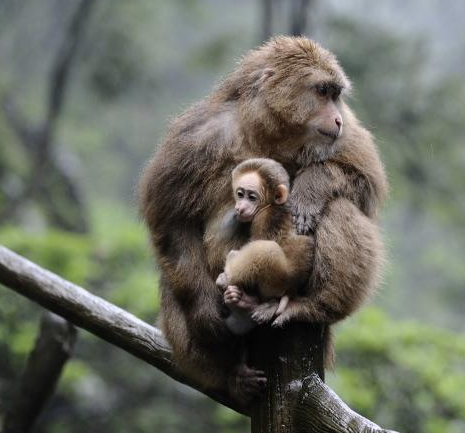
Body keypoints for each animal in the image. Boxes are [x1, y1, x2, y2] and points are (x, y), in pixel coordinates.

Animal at [217, 159, 312, 334]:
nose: (240, 208)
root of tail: (291, 290)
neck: (270, 205)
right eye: (240, 194)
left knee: (267, 250)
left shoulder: (265, 218)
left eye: (252, 197)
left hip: (278, 280)